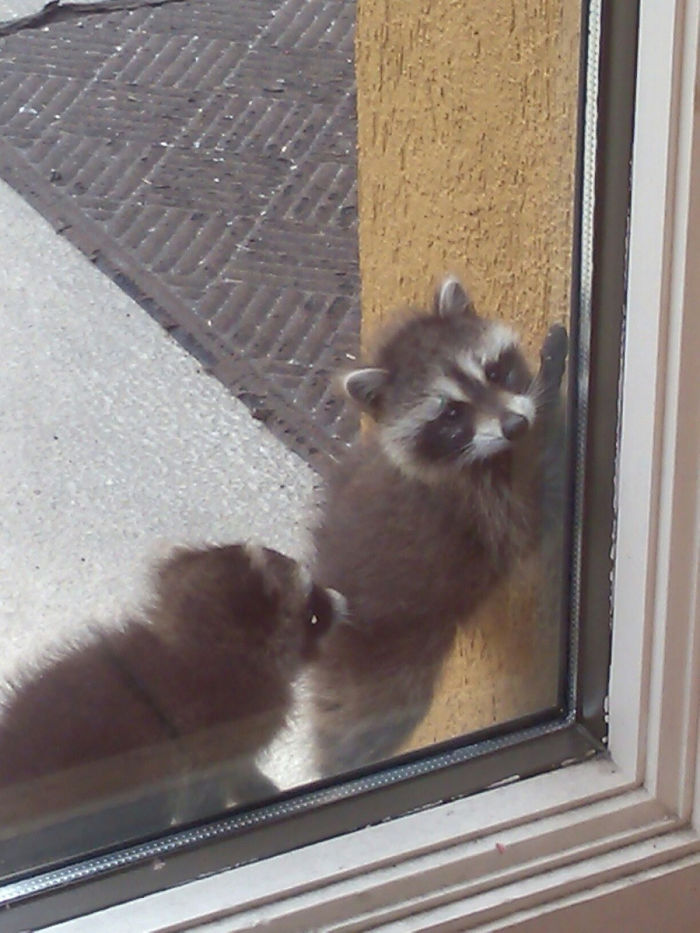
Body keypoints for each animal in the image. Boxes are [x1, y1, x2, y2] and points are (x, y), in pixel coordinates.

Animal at [310, 275, 568, 776]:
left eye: (494, 373)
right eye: (450, 414)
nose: (515, 424)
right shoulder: (479, 505)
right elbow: (529, 520)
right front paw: (552, 388)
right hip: (382, 665)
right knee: (363, 730)